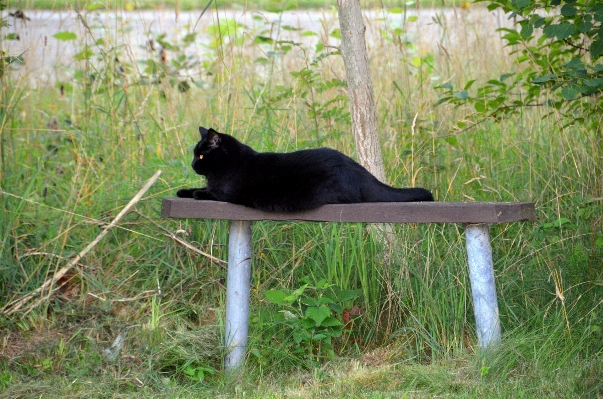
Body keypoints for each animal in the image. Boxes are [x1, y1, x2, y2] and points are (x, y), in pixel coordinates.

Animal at [177, 129, 436, 214]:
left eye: (201, 155)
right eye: (195, 154)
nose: (192, 164)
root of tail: (354, 166)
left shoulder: (226, 193)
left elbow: (207, 192)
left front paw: (196, 193)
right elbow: (196, 188)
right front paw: (183, 191)